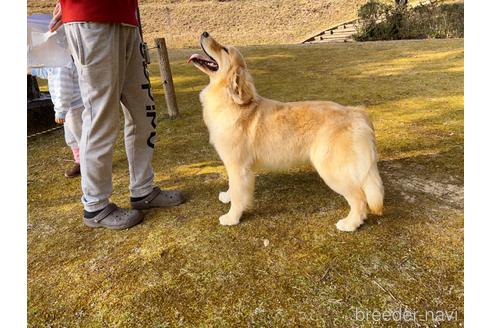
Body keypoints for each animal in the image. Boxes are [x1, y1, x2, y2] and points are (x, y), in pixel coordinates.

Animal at [188, 32, 384, 231]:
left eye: (225, 49)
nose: (204, 33)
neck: (230, 101)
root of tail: (356, 112)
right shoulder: (233, 165)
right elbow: (232, 187)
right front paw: (227, 196)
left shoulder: (238, 166)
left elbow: (238, 194)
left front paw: (232, 217)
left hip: (332, 169)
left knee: (359, 198)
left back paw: (350, 223)